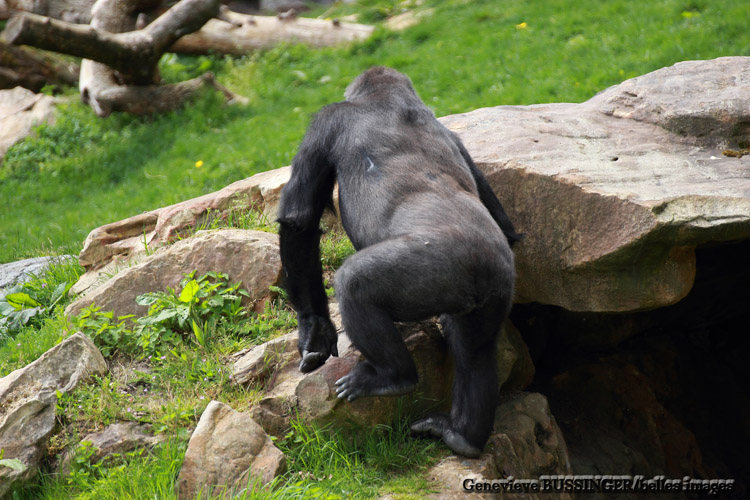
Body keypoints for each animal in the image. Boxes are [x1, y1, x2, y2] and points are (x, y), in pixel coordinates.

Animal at [280, 66, 520, 458]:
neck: (389, 100)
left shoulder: (327, 121)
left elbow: (298, 220)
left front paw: (313, 329)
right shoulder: (457, 138)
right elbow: (502, 215)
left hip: (437, 269)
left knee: (355, 284)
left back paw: (393, 378)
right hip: (497, 284)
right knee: (475, 351)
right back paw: (463, 436)